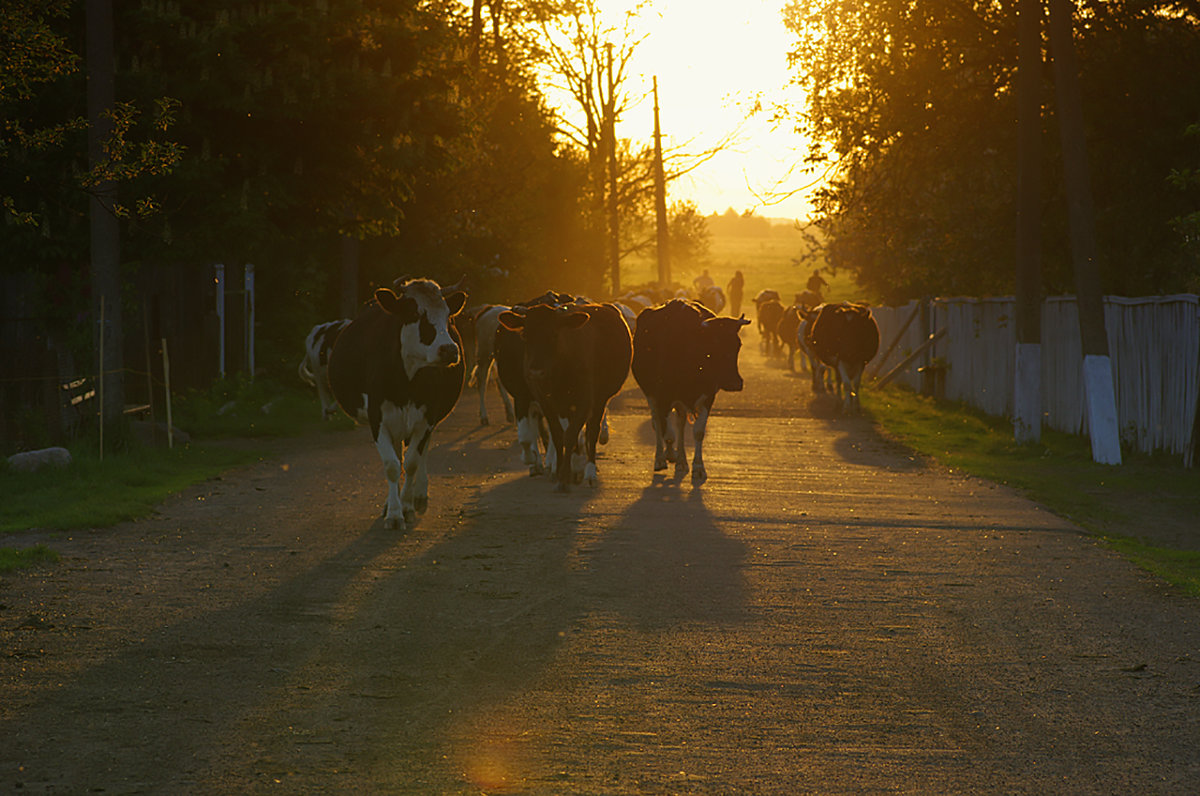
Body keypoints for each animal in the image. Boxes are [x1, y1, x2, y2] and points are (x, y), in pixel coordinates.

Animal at [328, 277, 468, 533]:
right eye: (414, 313)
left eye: (447, 315)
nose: (450, 349)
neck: (406, 384)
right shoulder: (378, 418)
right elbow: (392, 465)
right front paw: (393, 513)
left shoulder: (426, 418)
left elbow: (412, 462)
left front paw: (407, 507)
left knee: (420, 452)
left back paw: (418, 496)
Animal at [496, 302, 633, 492]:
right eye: (525, 334)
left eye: (554, 334)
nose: (535, 372)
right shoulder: (547, 403)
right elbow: (558, 435)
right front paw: (561, 472)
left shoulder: (585, 402)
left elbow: (571, 435)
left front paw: (565, 477)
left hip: (600, 399)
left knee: (592, 432)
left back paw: (589, 472)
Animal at [628, 298, 748, 485]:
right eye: (713, 345)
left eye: (738, 345)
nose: (734, 383)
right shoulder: (663, 396)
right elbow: (665, 429)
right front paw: (667, 455)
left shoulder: (708, 396)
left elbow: (698, 432)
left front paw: (698, 468)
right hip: (650, 393)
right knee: (657, 420)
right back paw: (662, 457)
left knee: (681, 422)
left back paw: (682, 461)